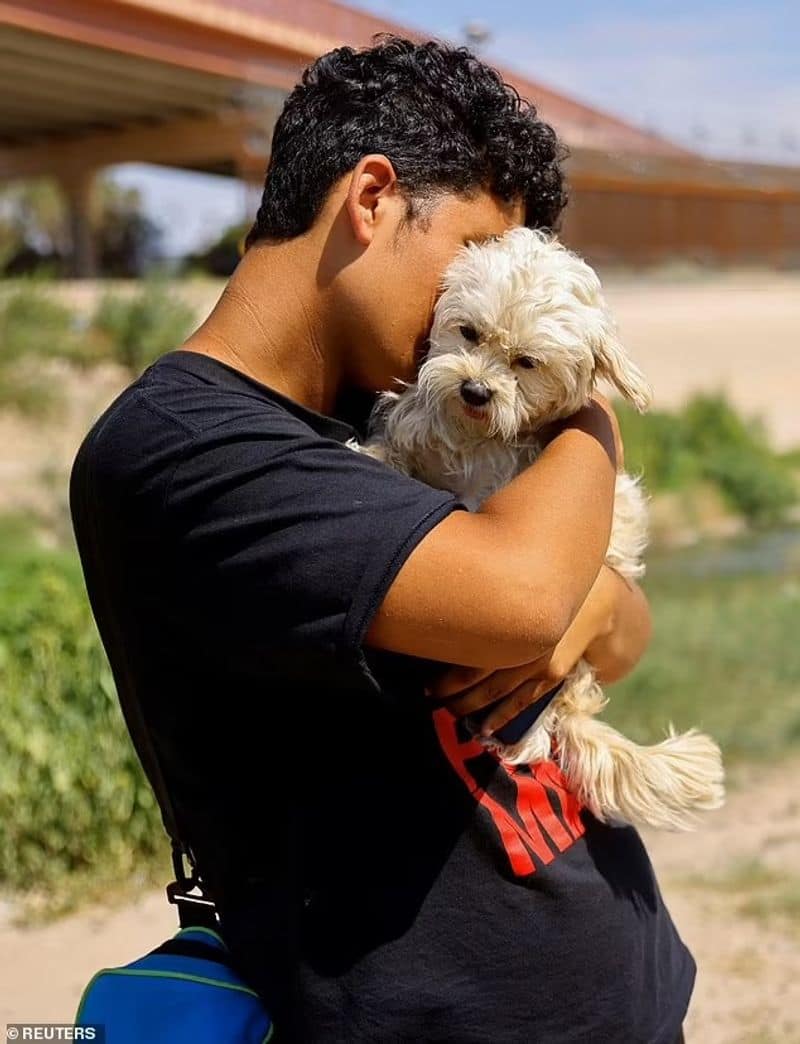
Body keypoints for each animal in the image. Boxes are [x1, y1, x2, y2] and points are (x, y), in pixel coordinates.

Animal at [355, 226, 726, 831]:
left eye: (526, 361)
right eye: (469, 332)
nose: (475, 390)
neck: (477, 439)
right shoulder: (424, 424)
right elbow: (401, 442)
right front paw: (370, 455)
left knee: (541, 728)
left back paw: (520, 741)